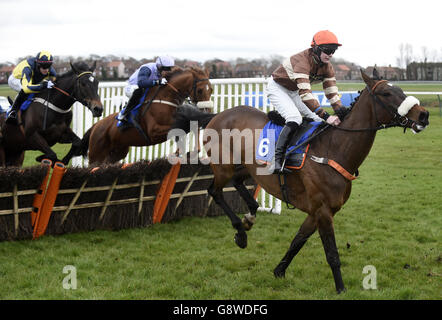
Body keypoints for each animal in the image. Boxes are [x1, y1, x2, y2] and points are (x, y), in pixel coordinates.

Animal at [83, 65, 214, 165]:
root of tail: (95, 126)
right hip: (96, 155)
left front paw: (190, 152)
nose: (206, 110)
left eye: (211, 89)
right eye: (200, 90)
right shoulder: (153, 132)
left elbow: (191, 126)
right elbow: (182, 127)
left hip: (116, 153)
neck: (165, 98)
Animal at [203, 69, 428, 292]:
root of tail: (218, 116)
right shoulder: (323, 211)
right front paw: (341, 289)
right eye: (386, 93)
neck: (334, 148)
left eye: (401, 90)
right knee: (214, 191)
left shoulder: (316, 212)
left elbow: (297, 241)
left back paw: (249, 217)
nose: (423, 115)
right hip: (223, 167)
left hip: (250, 168)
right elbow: (332, 254)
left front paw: (279, 271)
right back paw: (240, 232)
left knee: (237, 182)